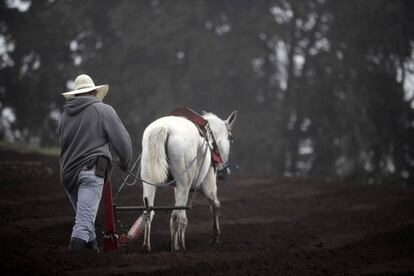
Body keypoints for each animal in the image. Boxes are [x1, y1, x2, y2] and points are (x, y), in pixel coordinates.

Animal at [141, 109, 236, 250]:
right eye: (230, 138)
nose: (223, 172)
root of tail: (164, 127)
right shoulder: (208, 185)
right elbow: (215, 205)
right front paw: (215, 236)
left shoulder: (177, 188)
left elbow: (184, 216)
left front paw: (180, 241)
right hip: (185, 184)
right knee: (176, 216)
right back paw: (175, 248)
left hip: (149, 181)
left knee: (149, 212)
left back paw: (147, 246)